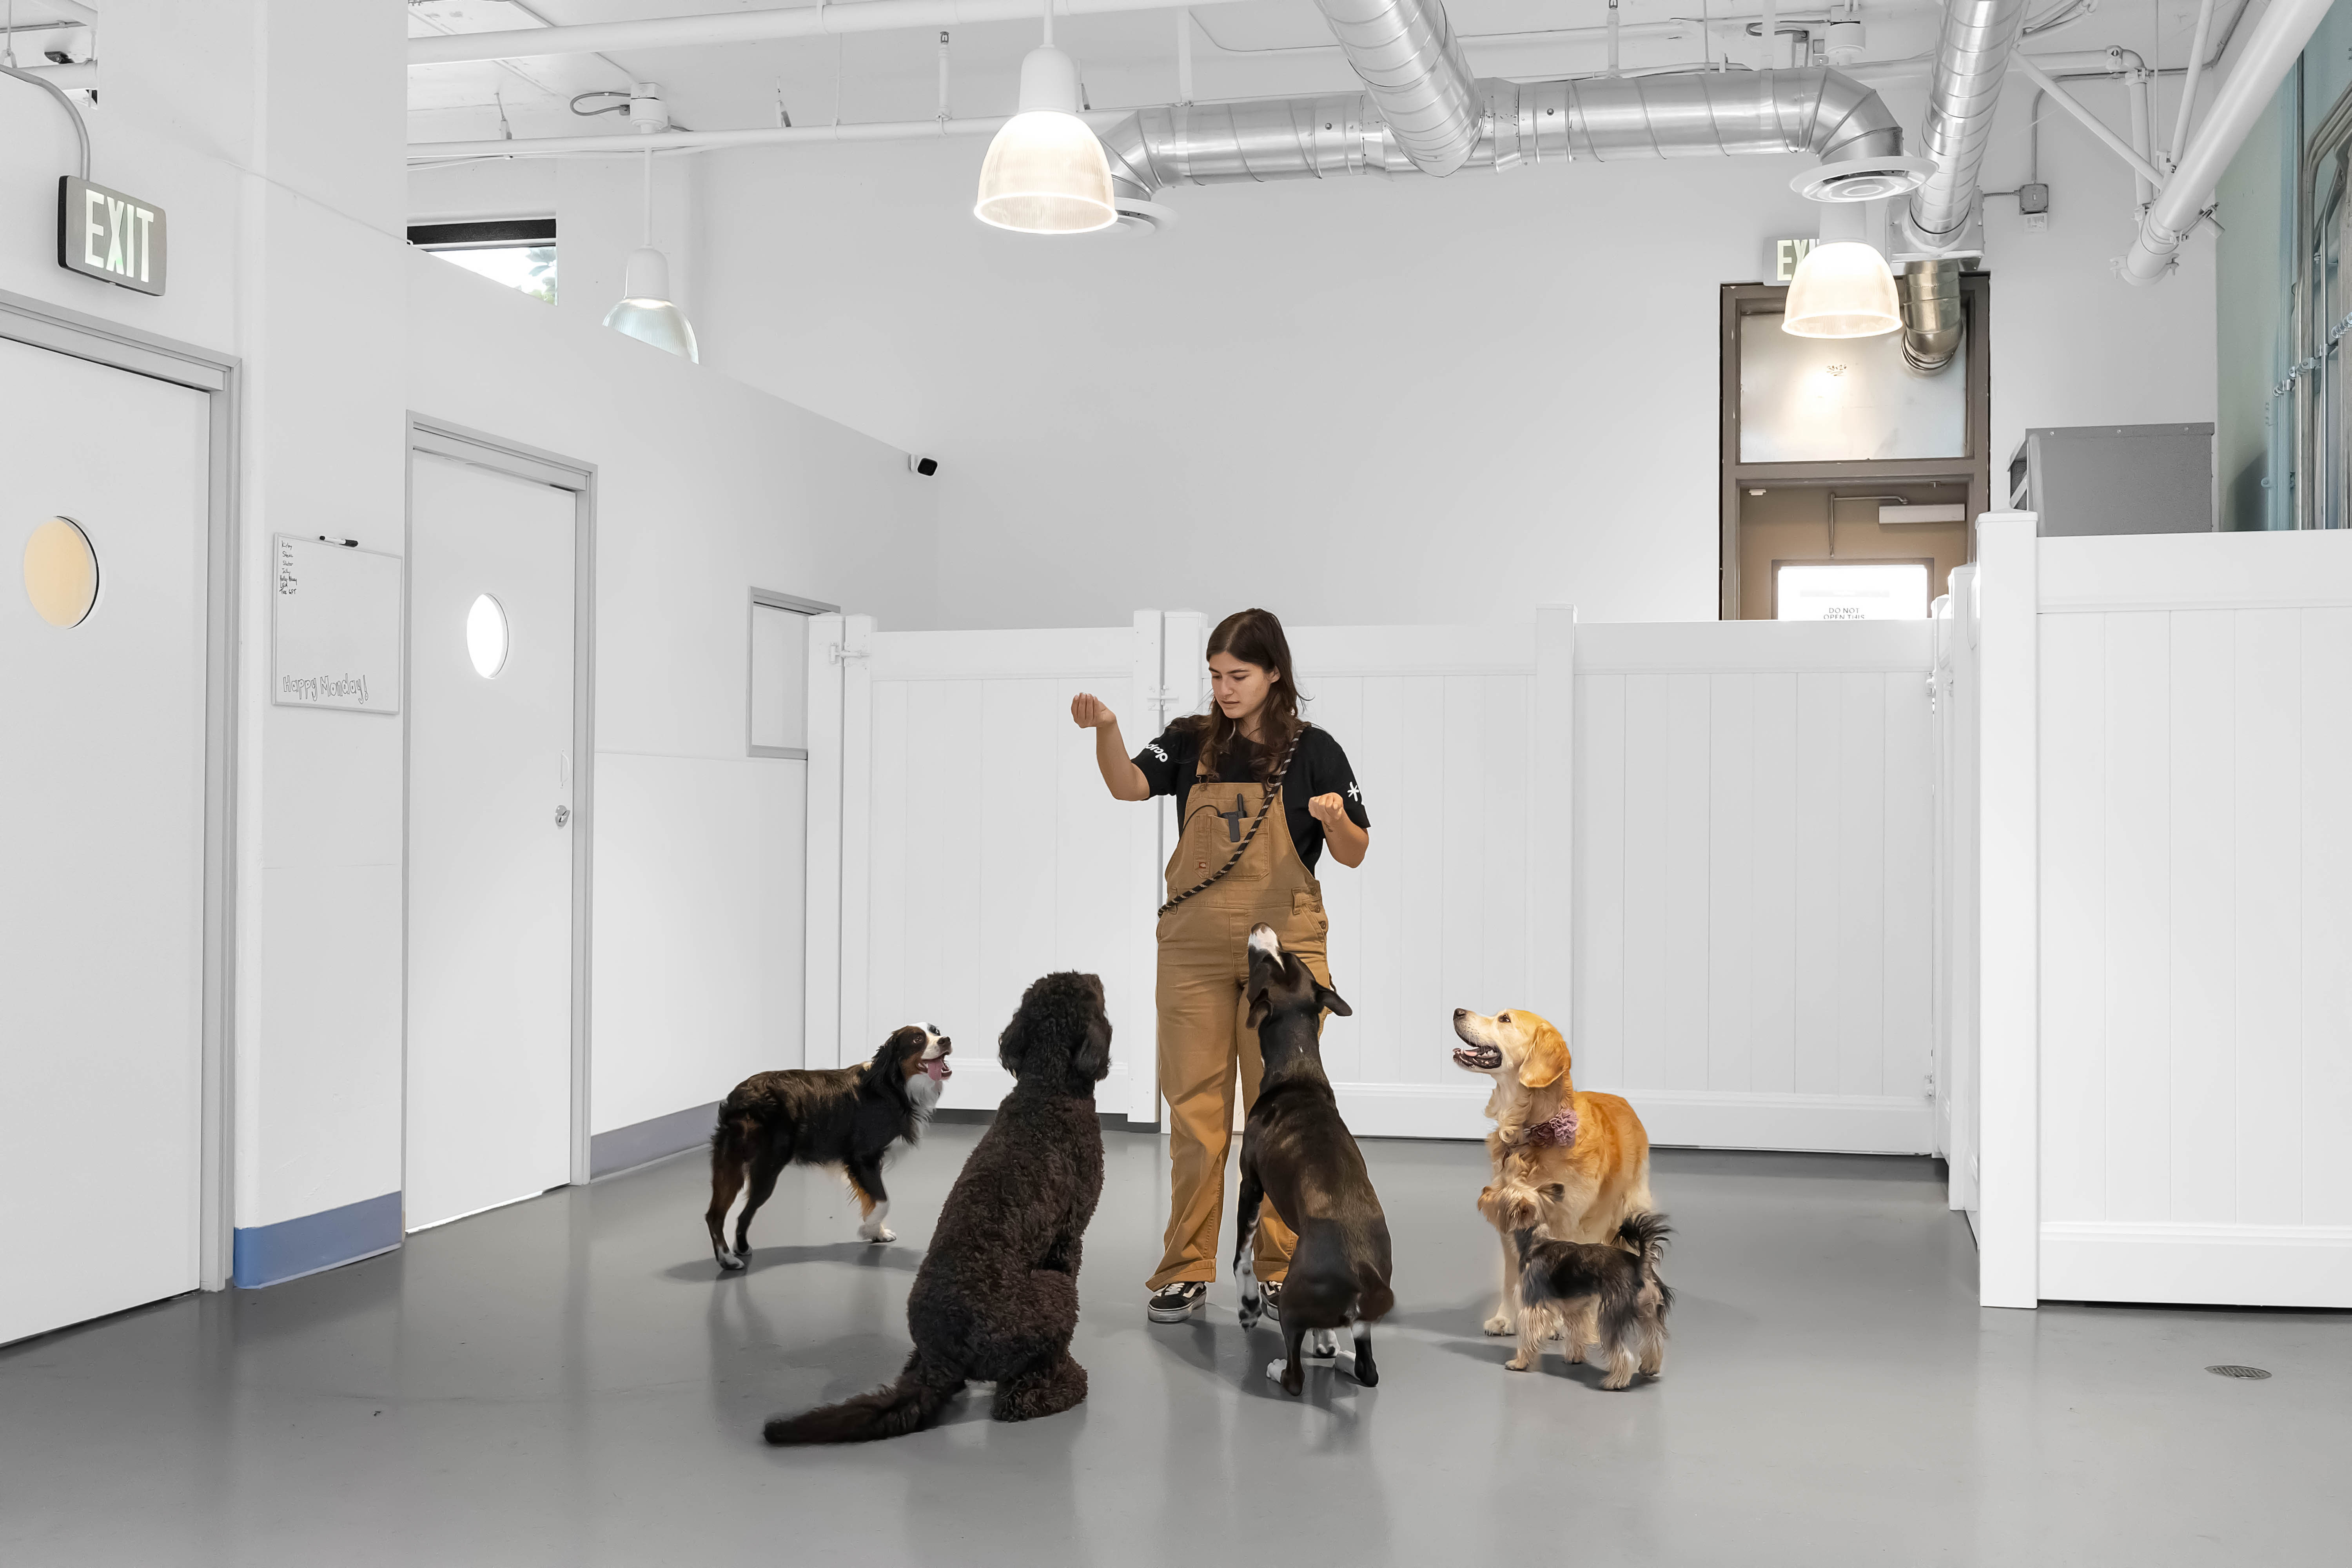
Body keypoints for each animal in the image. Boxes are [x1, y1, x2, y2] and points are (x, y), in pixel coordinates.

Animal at [701, 1020, 950, 1279]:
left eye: (937, 1032)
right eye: (917, 1039)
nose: (947, 1040)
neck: (891, 1086)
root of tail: (739, 1098)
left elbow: (872, 1199)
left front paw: (877, 1233)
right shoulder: (863, 1157)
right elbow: (883, 1201)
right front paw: (869, 1229)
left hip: (732, 1166)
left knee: (724, 1214)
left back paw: (739, 1250)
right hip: (766, 1168)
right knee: (726, 1215)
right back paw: (728, 1260)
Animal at [762, 968, 1110, 1448]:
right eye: (1095, 992)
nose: (1096, 975)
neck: (1046, 1089)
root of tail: (944, 1358)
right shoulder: (1069, 1236)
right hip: (1054, 1295)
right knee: (1017, 1401)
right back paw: (1068, 1381)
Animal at [1242, 926, 1383, 1392]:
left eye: (1269, 961)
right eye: (1291, 958)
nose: (1262, 926)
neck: (1297, 1066)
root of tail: (1359, 1272)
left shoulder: (1251, 1183)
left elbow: (1241, 1257)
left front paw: (1247, 1306)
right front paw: (1325, 1340)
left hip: (1292, 1296)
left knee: (1296, 1376)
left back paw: (1278, 1370)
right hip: (1364, 1320)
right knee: (1368, 1369)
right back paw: (1341, 1359)